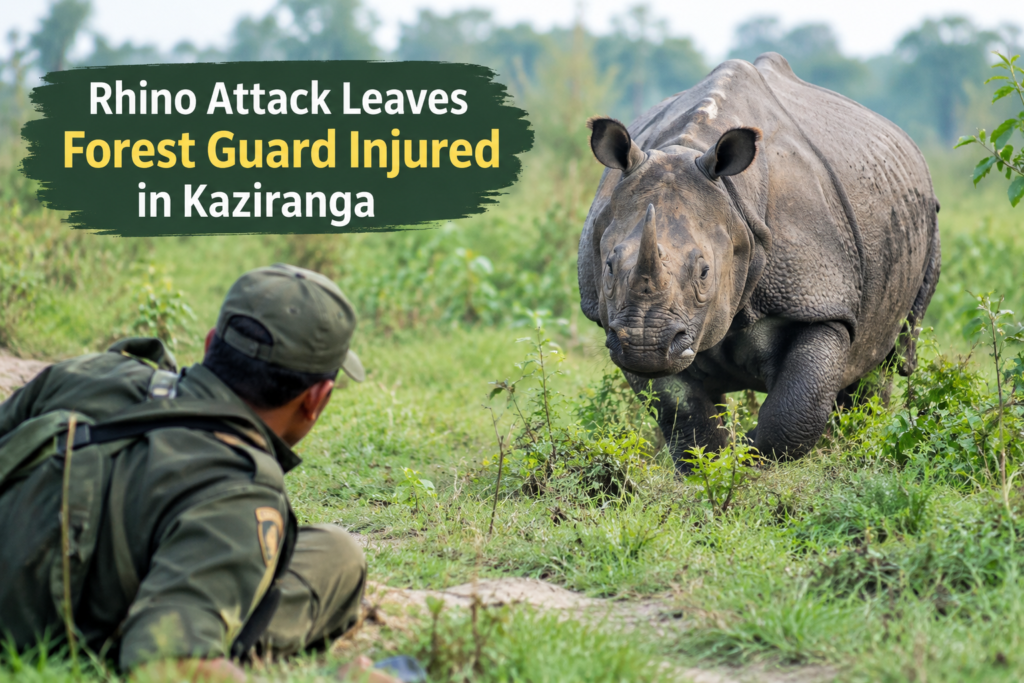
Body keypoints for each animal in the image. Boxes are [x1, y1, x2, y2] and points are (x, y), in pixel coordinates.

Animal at [578, 53, 940, 467]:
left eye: (705, 272)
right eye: (608, 267)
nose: (645, 342)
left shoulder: (820, 299)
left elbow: (795, 411)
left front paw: (751, 458)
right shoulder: (614, 322)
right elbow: (681, 408)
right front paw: (712, 465)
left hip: (924, 222)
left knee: (888, 358)